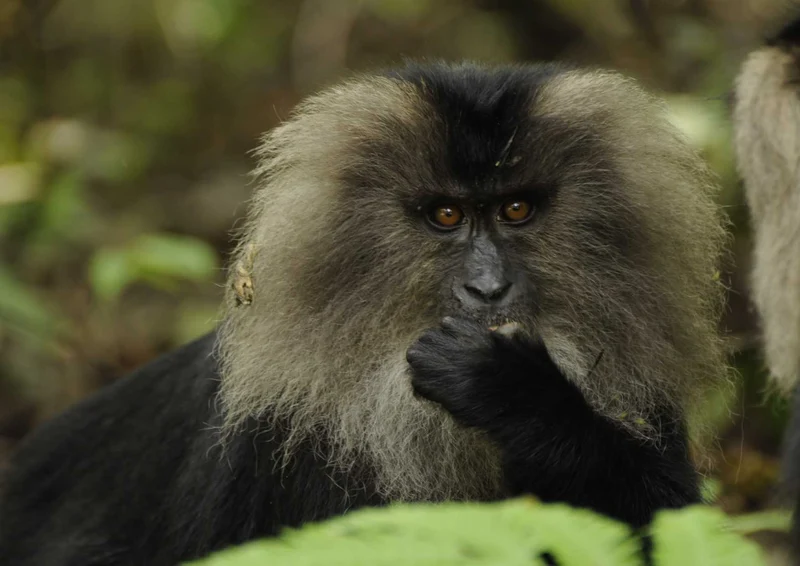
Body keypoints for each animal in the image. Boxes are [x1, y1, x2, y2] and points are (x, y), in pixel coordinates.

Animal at [0, 61, 729, 566]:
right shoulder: (266, 440)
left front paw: (513, 391)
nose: (488, 288)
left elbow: (670, 524)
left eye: (516, 209)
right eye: (446, 215)